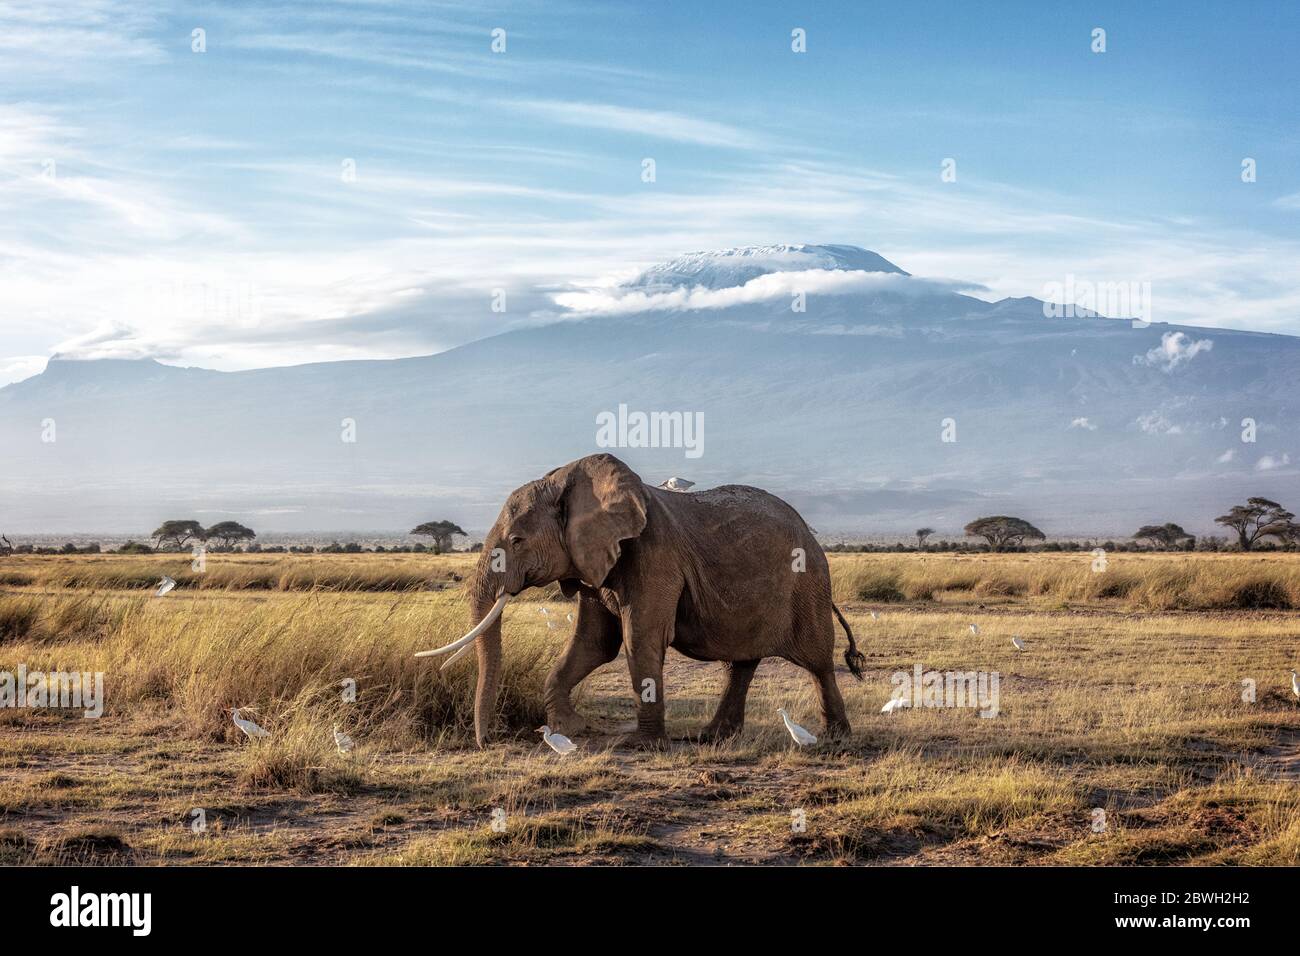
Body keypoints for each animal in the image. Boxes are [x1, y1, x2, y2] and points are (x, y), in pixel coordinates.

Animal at [416, 455, 863, 749]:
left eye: (517, 540)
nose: (487, 742)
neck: (572, 481)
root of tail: (812, 535)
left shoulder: (654, 554)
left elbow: (639, 639)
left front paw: (639, 744)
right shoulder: (595, 562)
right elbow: (594, 644)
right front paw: (570, 728)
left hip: (809, 583)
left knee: (817, 661)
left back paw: (835, 738)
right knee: (742, 663)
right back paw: (712, 736)